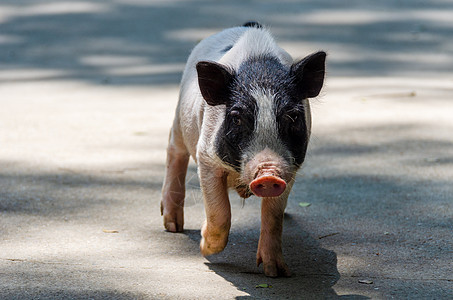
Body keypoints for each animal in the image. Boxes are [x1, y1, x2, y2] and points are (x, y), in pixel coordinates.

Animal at [161, 22, 324, 278]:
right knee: (174, 151)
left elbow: (273, 217)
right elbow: (220, 213)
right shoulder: (206, 156)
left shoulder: (291, 168)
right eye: (237, 118)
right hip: (180, 119)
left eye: (293, 117)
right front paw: (204, 249)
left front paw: (277, 272)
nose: (268, 174)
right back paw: (172, 227)